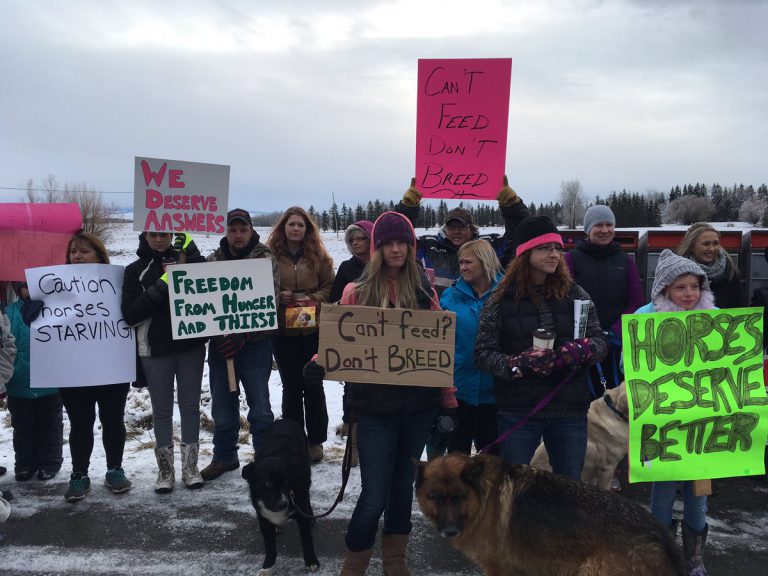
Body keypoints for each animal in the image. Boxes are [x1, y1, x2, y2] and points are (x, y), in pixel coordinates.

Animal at [243, 418, 320, 576]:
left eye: (286, 483)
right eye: (268, 484)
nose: (283, 504)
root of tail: (285, 419)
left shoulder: (300, 505)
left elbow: (306, 539)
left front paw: (311, 561)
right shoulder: (263, 519)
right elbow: (269, 546)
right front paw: (268, 566)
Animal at [414, 454, 684, 576]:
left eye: (459, 497)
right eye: (436, 497)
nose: (450, 531)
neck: (483, 497)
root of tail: (660, 533)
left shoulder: (497, 568)